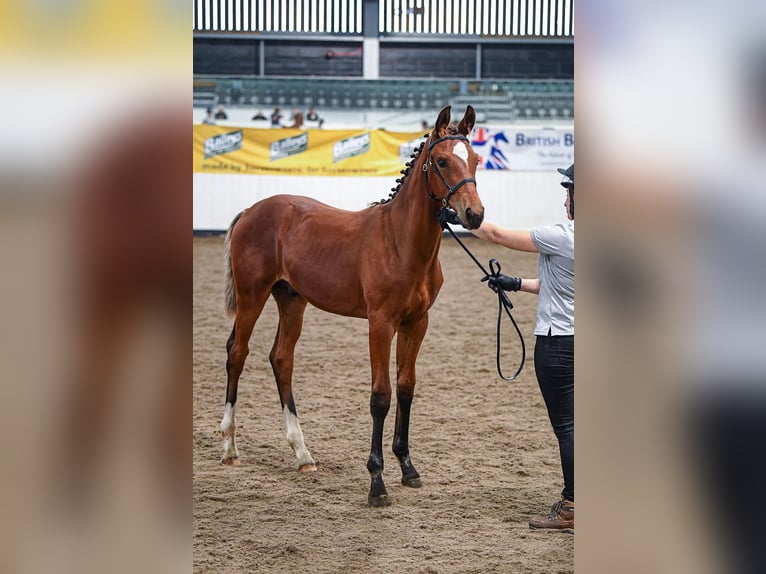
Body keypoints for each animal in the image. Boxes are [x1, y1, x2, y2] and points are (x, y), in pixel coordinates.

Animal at [224, 106, 486, 506]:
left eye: (474, 160)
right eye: (441, 161)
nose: (474, 214)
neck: (401, 242)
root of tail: (251, 210)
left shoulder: (416, 323)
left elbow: (406, 387)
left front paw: (408, 468)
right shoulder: (380, 322)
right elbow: (381, 396)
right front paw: (377, 482)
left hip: (291, 300)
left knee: (281, 359)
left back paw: (302, 454)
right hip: (252, 295)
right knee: (237, 353)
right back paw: (229, 448)